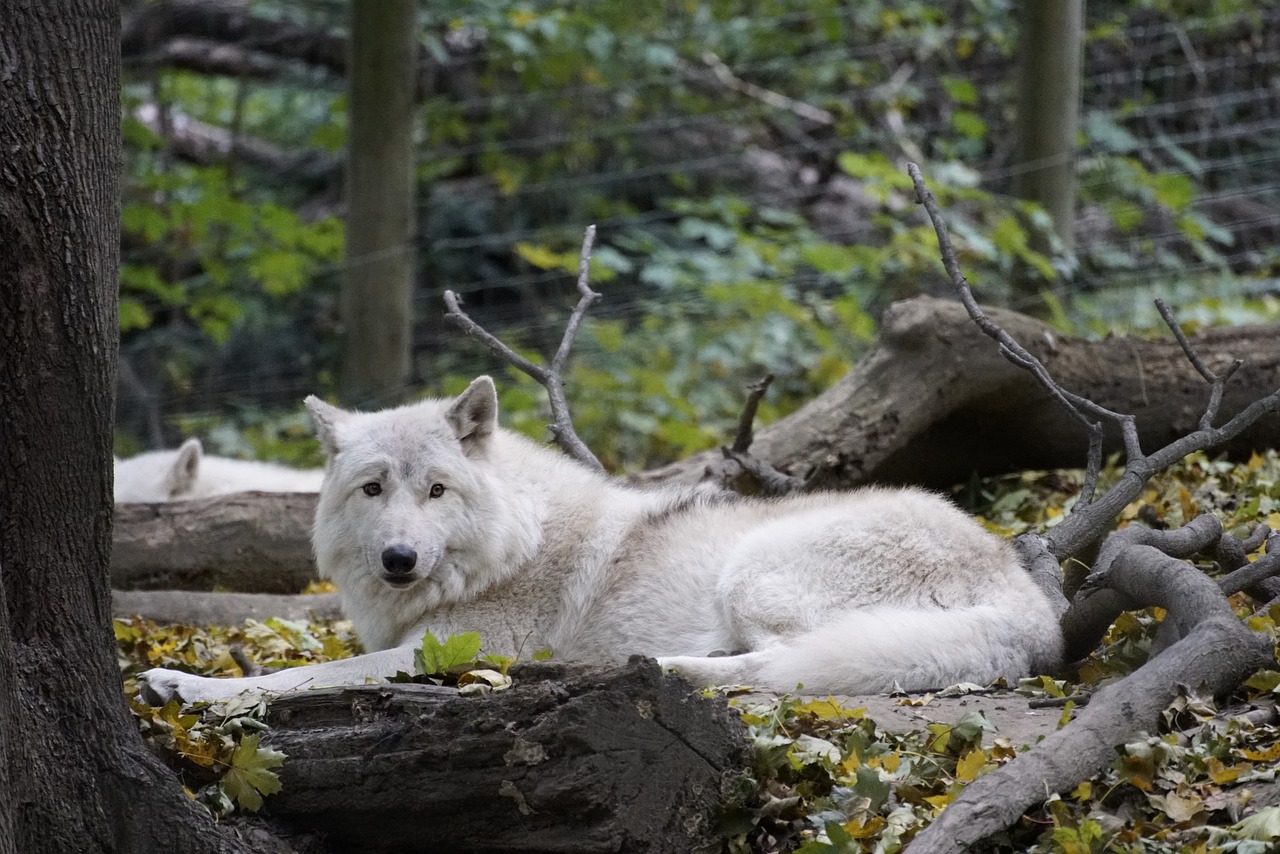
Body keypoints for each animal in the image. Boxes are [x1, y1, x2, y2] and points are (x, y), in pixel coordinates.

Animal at [137, 376, 1059, 706]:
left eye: (437, 490)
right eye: (373, 490)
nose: (400, 559)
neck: (508, 546)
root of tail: (1033, 609)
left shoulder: (441, 652)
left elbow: (302, 675)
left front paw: (194, 686)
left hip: (753, 575)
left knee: (776, 667)